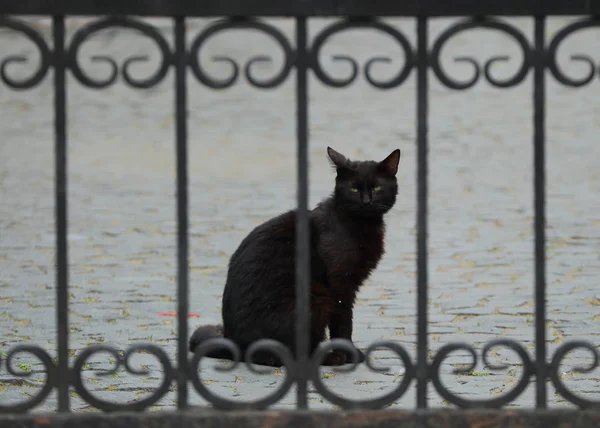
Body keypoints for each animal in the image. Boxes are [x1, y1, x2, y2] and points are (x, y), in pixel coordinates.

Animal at [190, 145, 400, 366]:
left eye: (377, 187)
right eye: (354, 189)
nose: (367, 201)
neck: (360, 223)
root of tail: (235, 345)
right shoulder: (340, 284)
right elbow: (343, 323)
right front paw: (349, 354)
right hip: (315, 299)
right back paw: (330, 357)